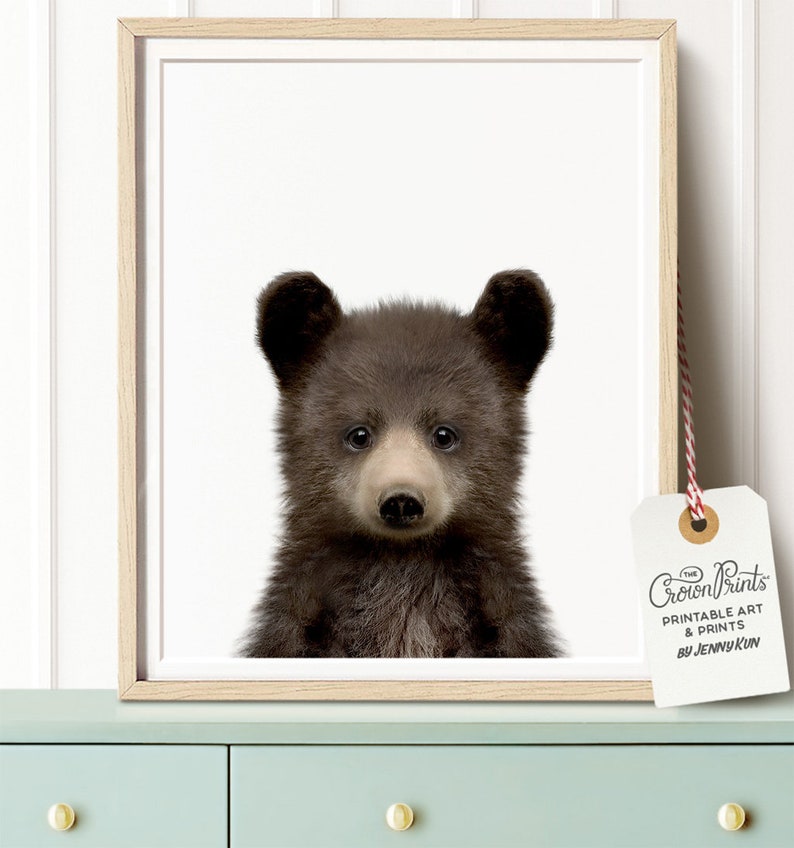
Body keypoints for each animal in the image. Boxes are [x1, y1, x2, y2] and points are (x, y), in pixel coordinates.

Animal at [239, 269, 563, 658]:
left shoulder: (504, 619)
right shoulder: (297, 618)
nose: (401, 501)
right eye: (359, 434)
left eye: (444, 433)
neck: (402, 559)